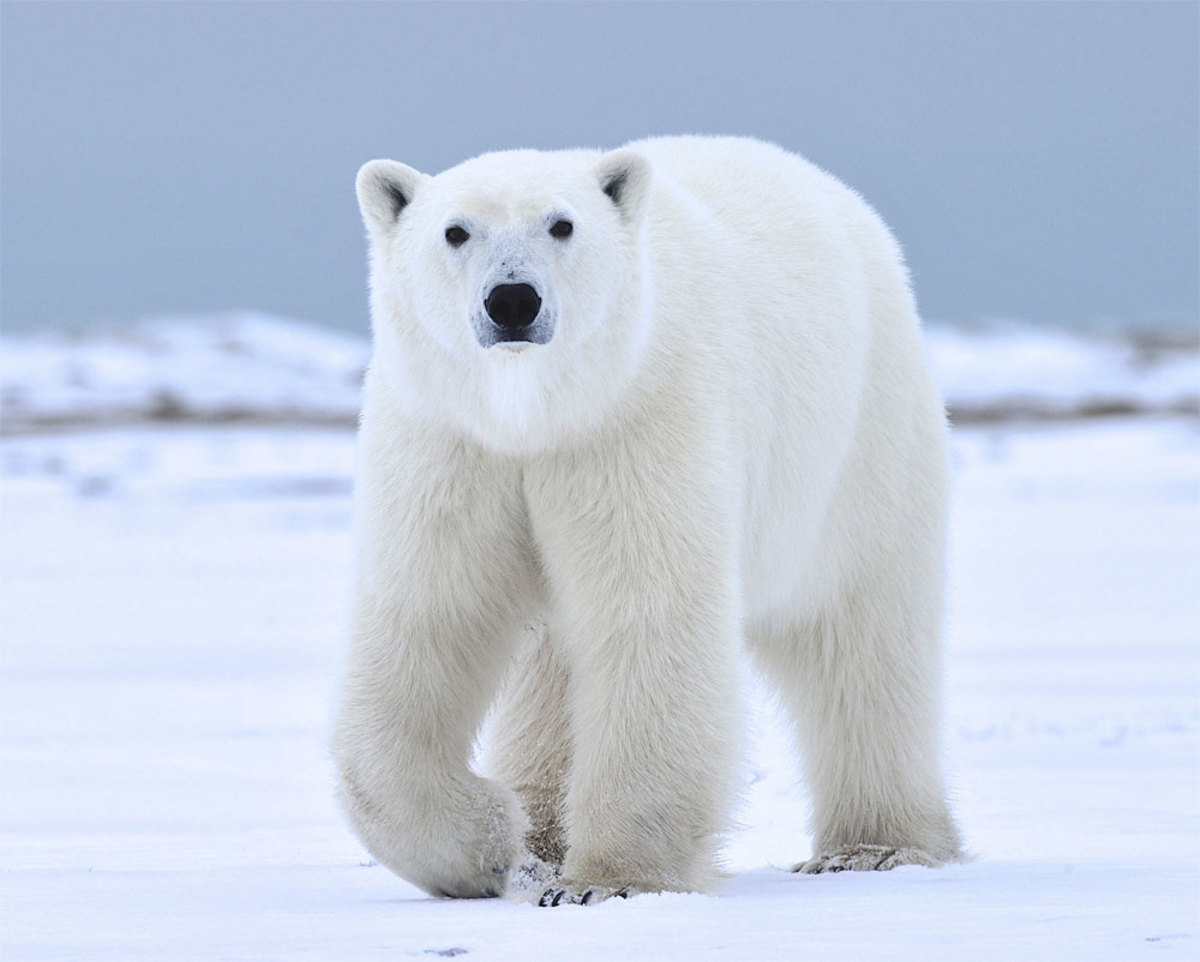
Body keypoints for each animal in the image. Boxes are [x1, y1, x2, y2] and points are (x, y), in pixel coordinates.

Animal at [332, 135, 964, 905]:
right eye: (455, 231)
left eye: (562, 224)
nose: (513, 300)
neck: (538, 416)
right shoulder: (450, 444)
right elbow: (427, 617)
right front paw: (492, 844)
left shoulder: (637, 421)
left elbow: (648, 617)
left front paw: (607, 883)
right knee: (551, 669)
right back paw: (541, 839)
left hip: (862, 454)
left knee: (861, 640)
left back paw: (875, 847)